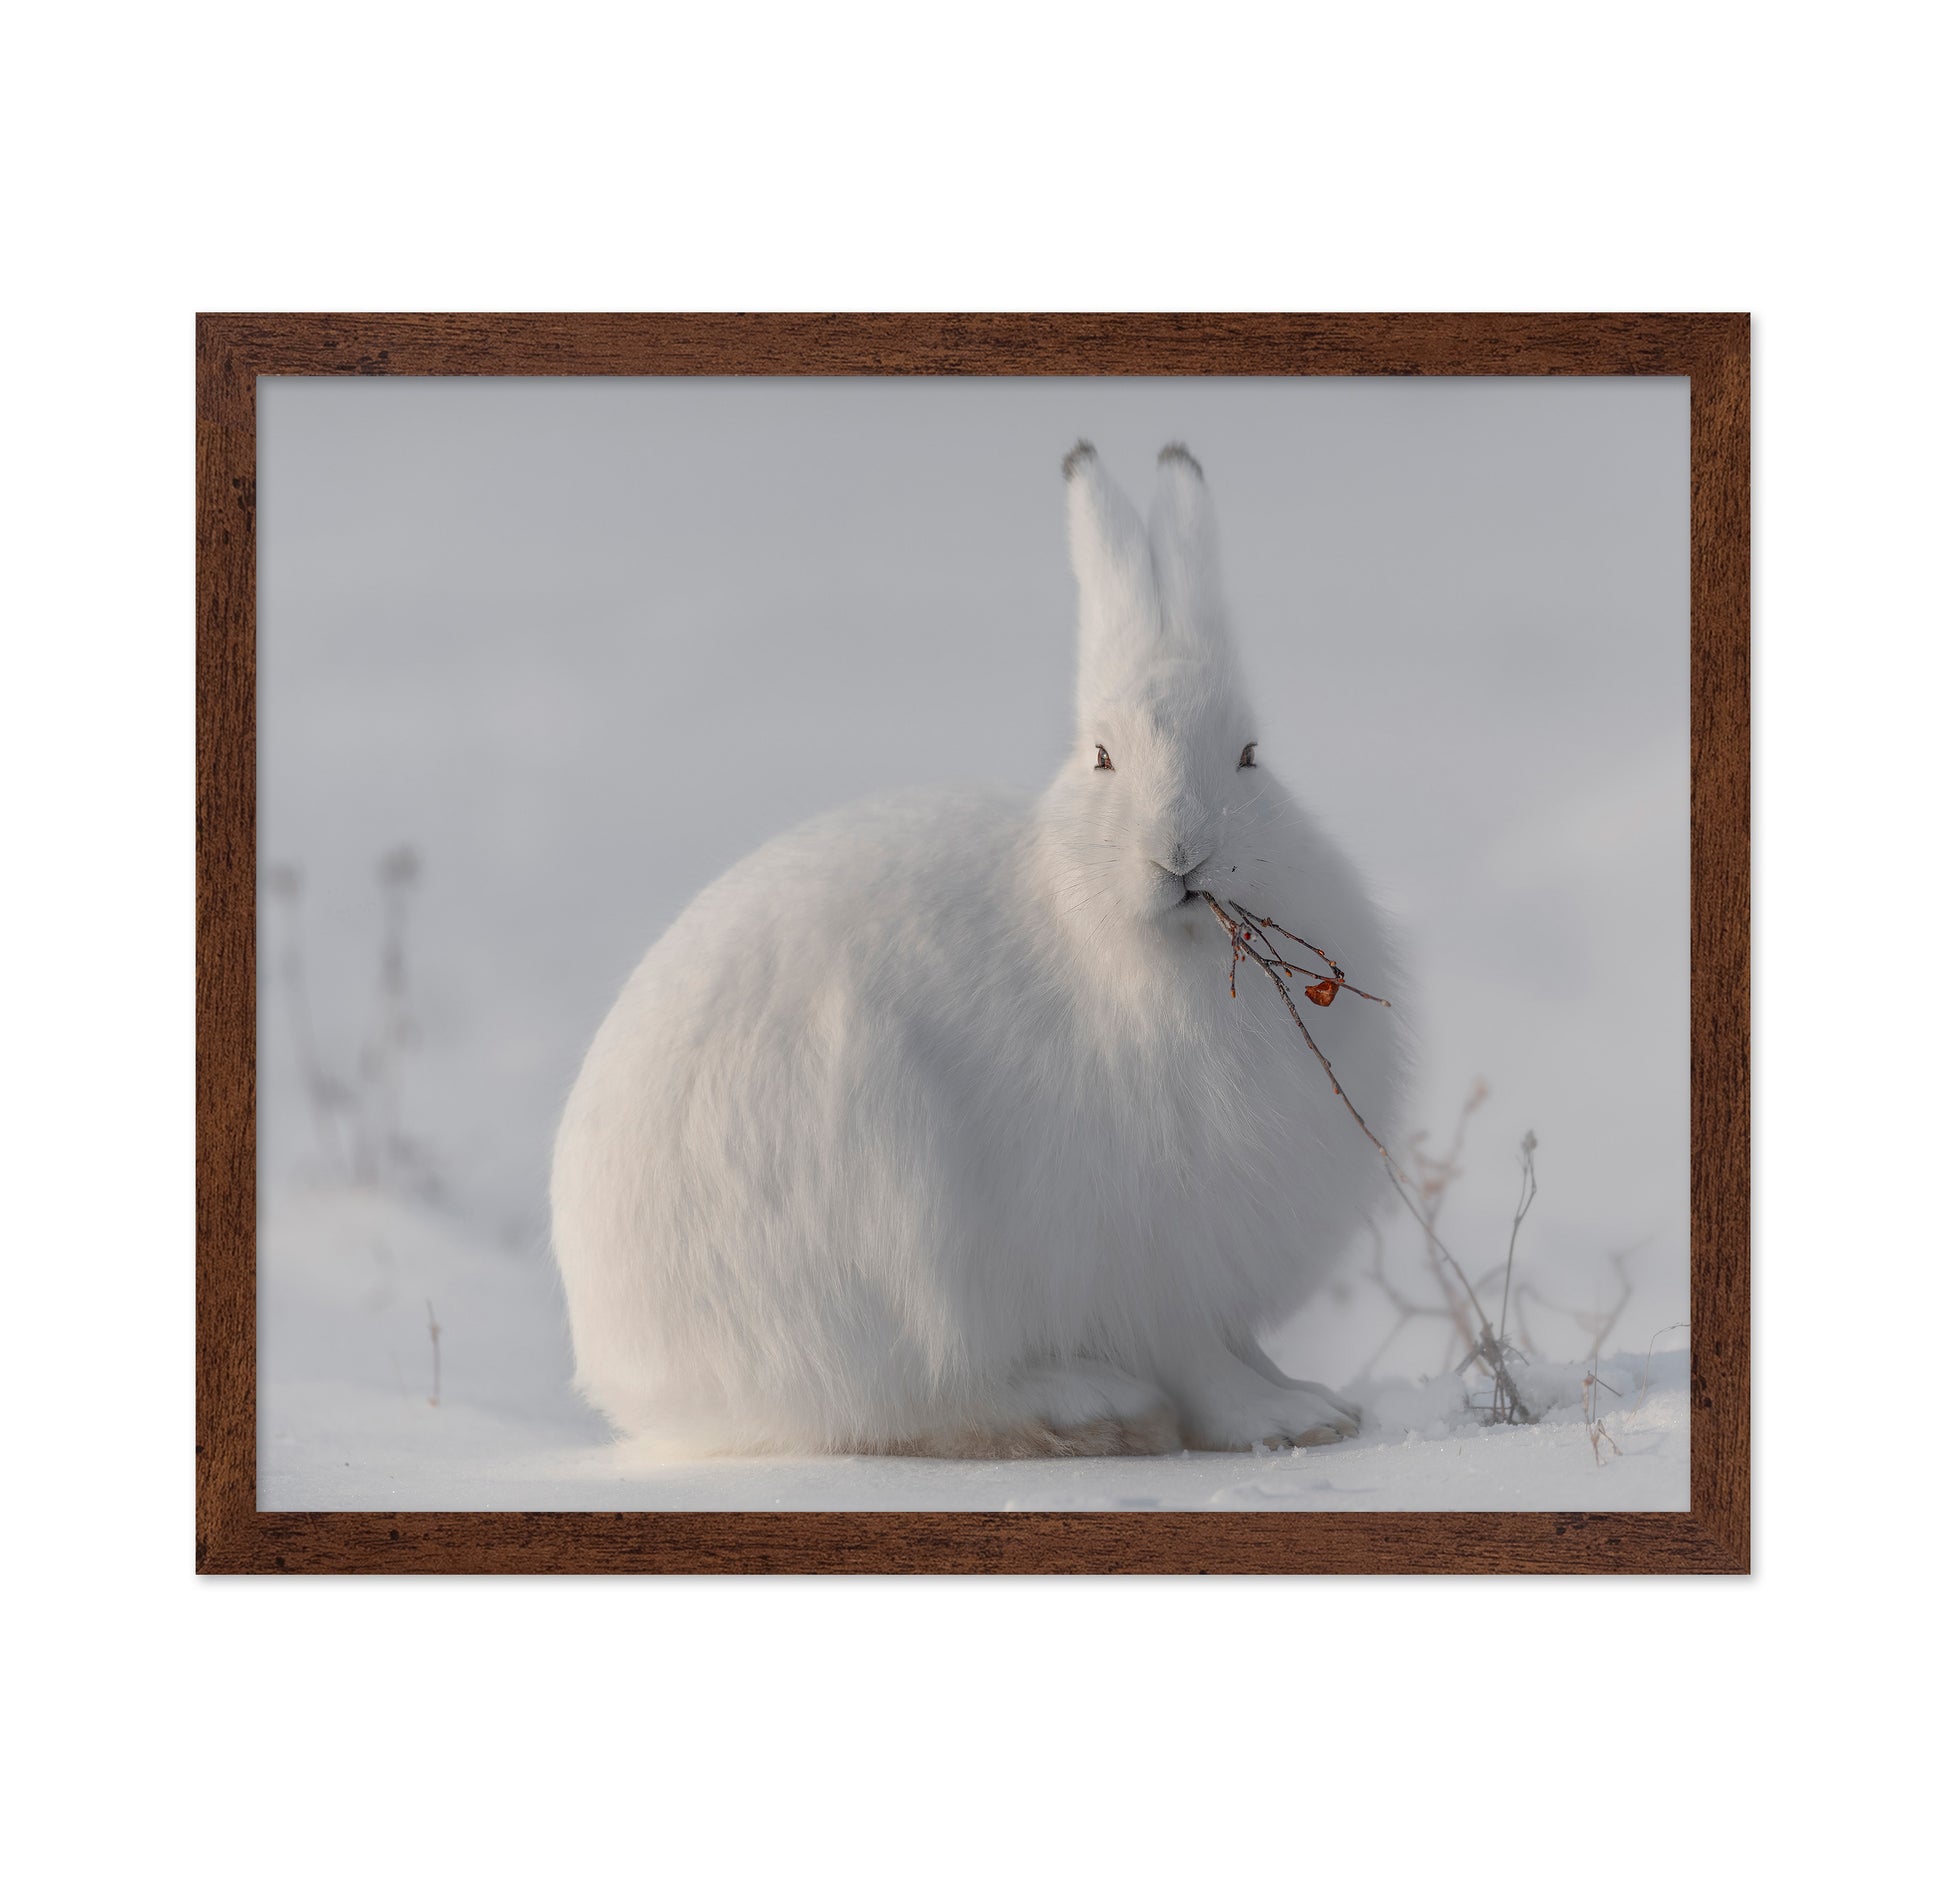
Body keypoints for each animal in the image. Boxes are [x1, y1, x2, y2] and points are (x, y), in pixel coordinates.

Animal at [550, 441, 1410, 1457]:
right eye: (1103, 757)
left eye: (1249, 756)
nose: (1183, 852)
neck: (1136, 947)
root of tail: (626, 1369)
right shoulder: (1149, 1260)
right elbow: (1202, 1363)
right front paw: (1281, 1420)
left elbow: (1241, 1347)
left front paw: (1317, 1400)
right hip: (889, 1223)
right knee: (918, 1397)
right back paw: (1091, 1401)